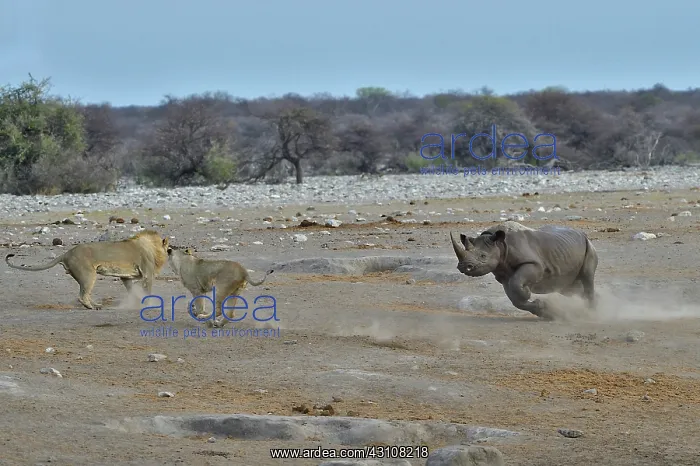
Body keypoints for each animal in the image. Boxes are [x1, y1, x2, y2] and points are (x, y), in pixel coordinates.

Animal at [450, 223, 598, 319]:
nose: (464, 266)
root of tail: (582, 234)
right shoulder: (503, 275)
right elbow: (515, 299)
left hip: (589, 246)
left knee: (587, 277)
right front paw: (545, 310)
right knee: (570, 288)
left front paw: (527, 292)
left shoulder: (535, 264)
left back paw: (591, 313)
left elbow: (516, 284)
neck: (499, 244)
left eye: (483, 256)